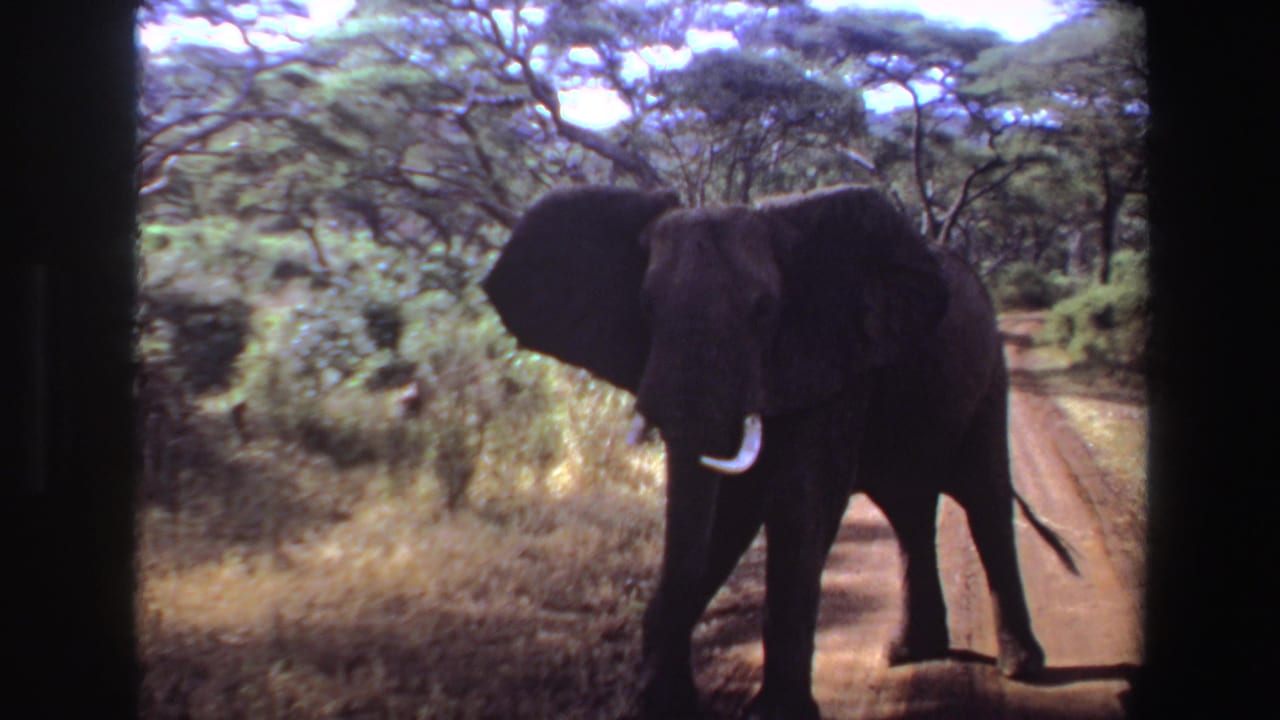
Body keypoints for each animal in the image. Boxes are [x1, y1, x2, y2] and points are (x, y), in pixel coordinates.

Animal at [481, 184, 1077, 719]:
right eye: (646, 308)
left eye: (764, 310)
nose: (661, 698)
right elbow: (731, 512)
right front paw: (659, 702)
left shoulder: (831, 358)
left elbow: (798, 502)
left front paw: (775, 713)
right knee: (909, 510)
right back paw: (911, 653)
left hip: (989, 370)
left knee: (985, 501)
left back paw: (1020, 668)